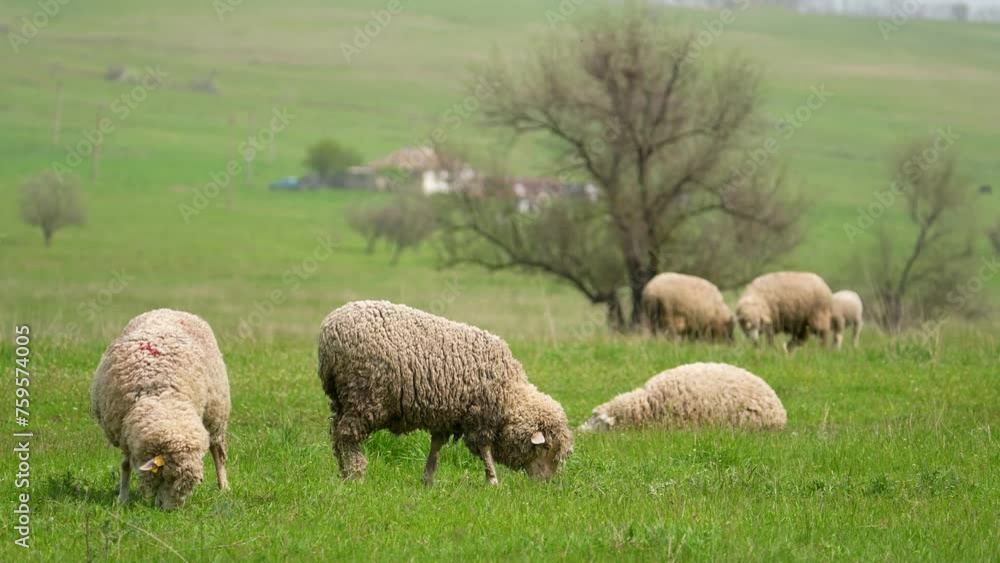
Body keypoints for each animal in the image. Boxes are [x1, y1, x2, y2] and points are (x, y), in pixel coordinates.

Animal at [90, 309, 230, 509]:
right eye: (166, 476)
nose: (170, 512)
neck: (160, 396)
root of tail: (171, 310)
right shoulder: (125, 434)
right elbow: (125, 465)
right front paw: (122, 499)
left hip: (216, 414)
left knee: (217, 452)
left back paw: (223, 487)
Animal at [318, 300, 573, 486]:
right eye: (546, 447)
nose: (547, 484)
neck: (509, 394)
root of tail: (328, 331)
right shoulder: (480, 416)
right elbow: (485, 449)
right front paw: (493, 480)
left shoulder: (446, 415)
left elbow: (436, 446)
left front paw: (428, 479)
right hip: (364, 394)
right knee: (347, 435)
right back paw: (355, 475)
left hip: (341, 398)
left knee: (336, 435)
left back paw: (343, 473)